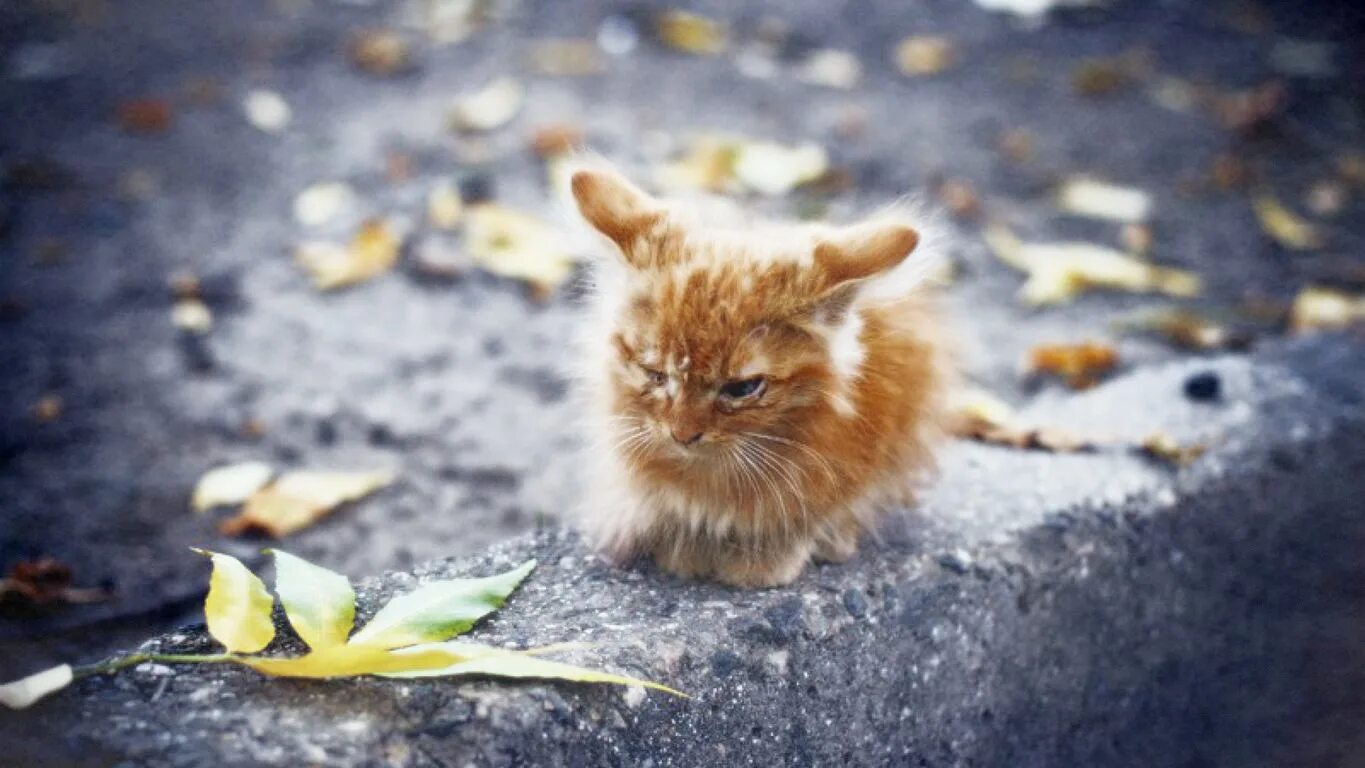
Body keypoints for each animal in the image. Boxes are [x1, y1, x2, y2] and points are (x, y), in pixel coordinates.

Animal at [570, 167, 944, 589]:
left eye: (741, 389)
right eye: (656, 374)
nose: (683, 434)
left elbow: (812, 515)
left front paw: (766, 558)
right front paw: (686, 550)